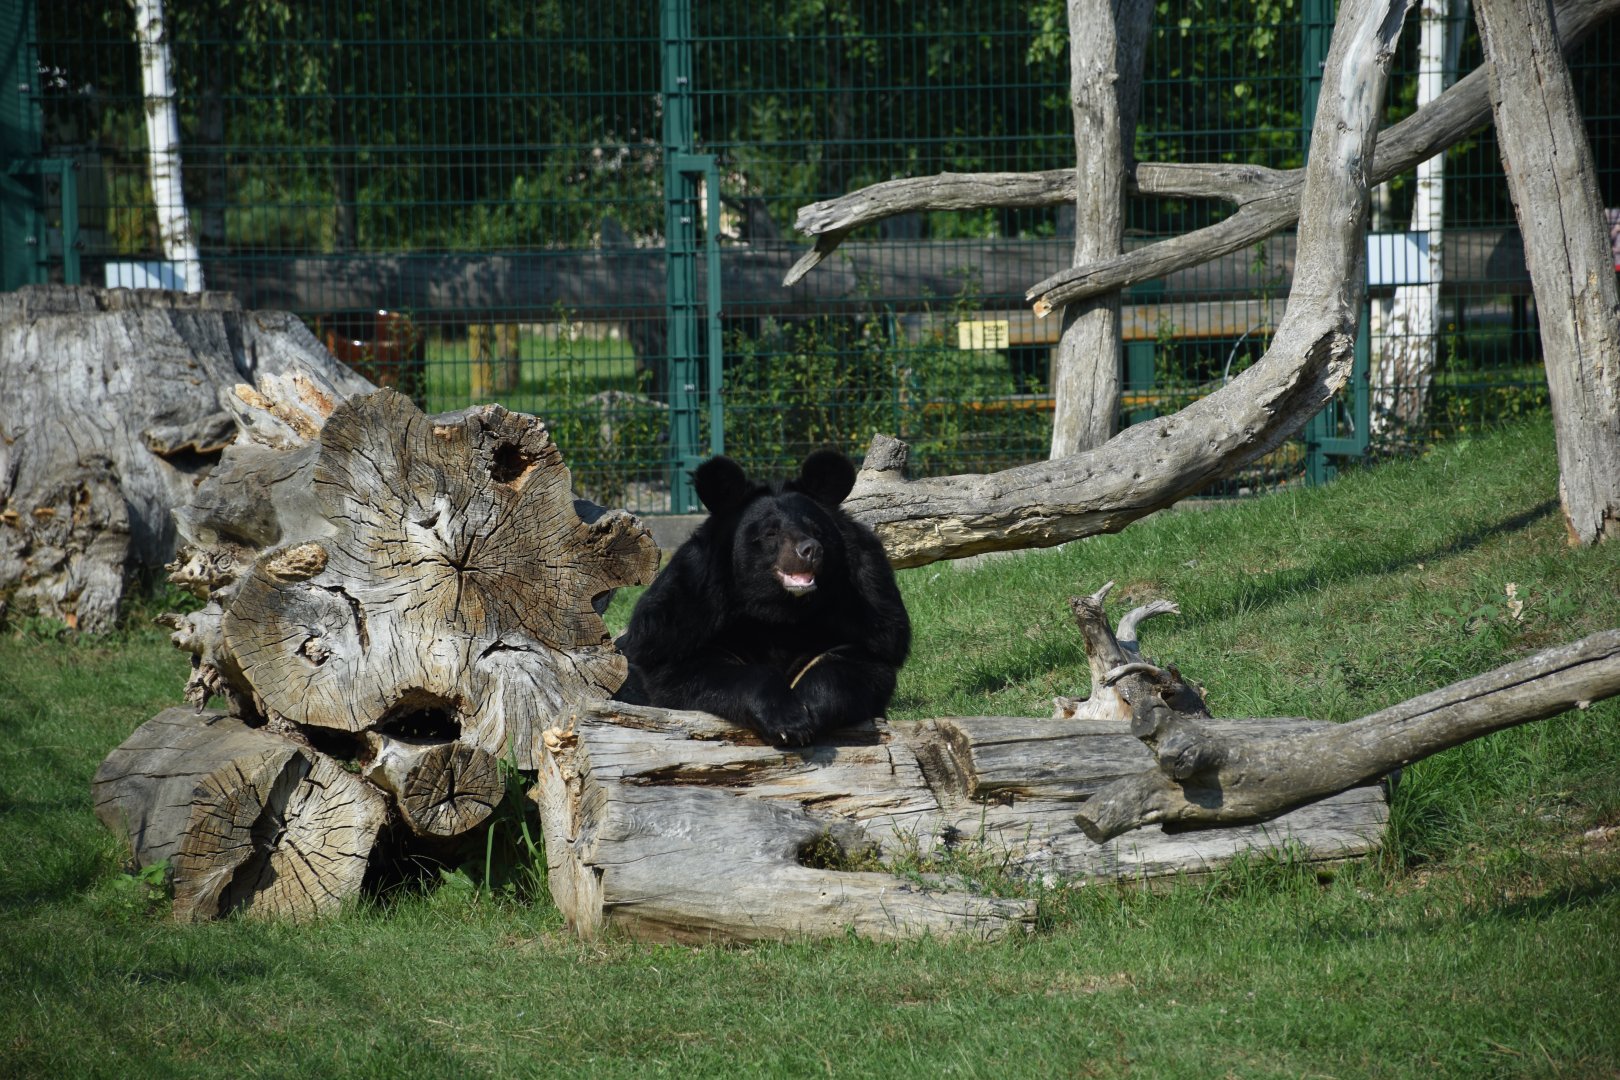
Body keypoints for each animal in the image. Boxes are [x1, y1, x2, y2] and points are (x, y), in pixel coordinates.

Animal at [615, 450, 911, 746]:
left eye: (816, 530)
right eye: (771, 533)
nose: (811, 550)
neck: (780, 610)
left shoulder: (865, 608)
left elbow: (850, 667)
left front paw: (808, 715)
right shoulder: (683, 614)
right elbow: (705, 670)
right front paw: (786, 722)